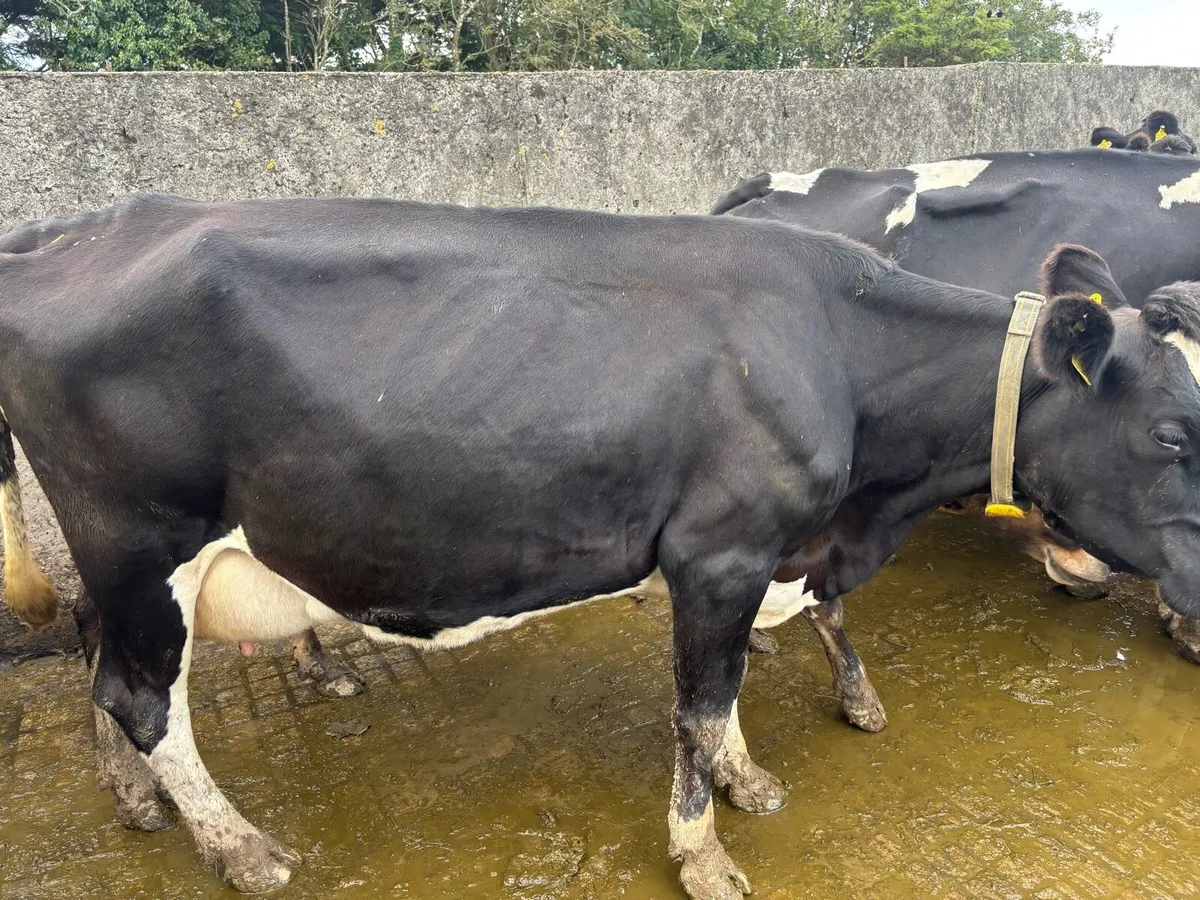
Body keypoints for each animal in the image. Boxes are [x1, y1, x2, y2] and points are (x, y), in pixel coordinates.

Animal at [5, 195, 1200, 900]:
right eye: (1172, 433)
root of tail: (68, 232)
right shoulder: (720, 551)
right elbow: (700, 703)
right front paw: (703, 852)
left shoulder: (763, 556)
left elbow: (725, 692)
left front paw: (745, 781)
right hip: (141, 539)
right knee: (144, 697)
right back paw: (239, 847)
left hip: (108, 561)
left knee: (105, 672)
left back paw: (136, 800)